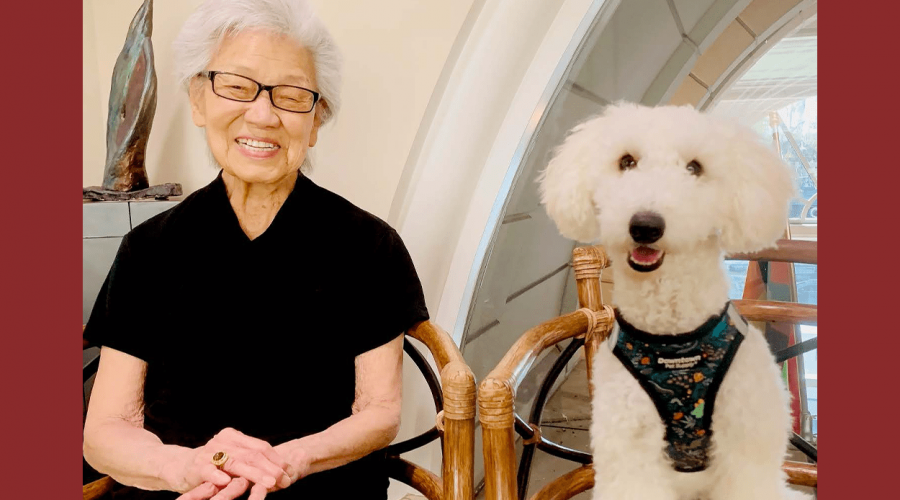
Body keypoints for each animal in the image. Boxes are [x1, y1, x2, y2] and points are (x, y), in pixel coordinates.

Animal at [536, 103, 804, 498]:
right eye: (626, 161)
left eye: (695, 167)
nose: (645, 225)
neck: (673, 337)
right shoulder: (630, 449)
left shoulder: (746, 445)